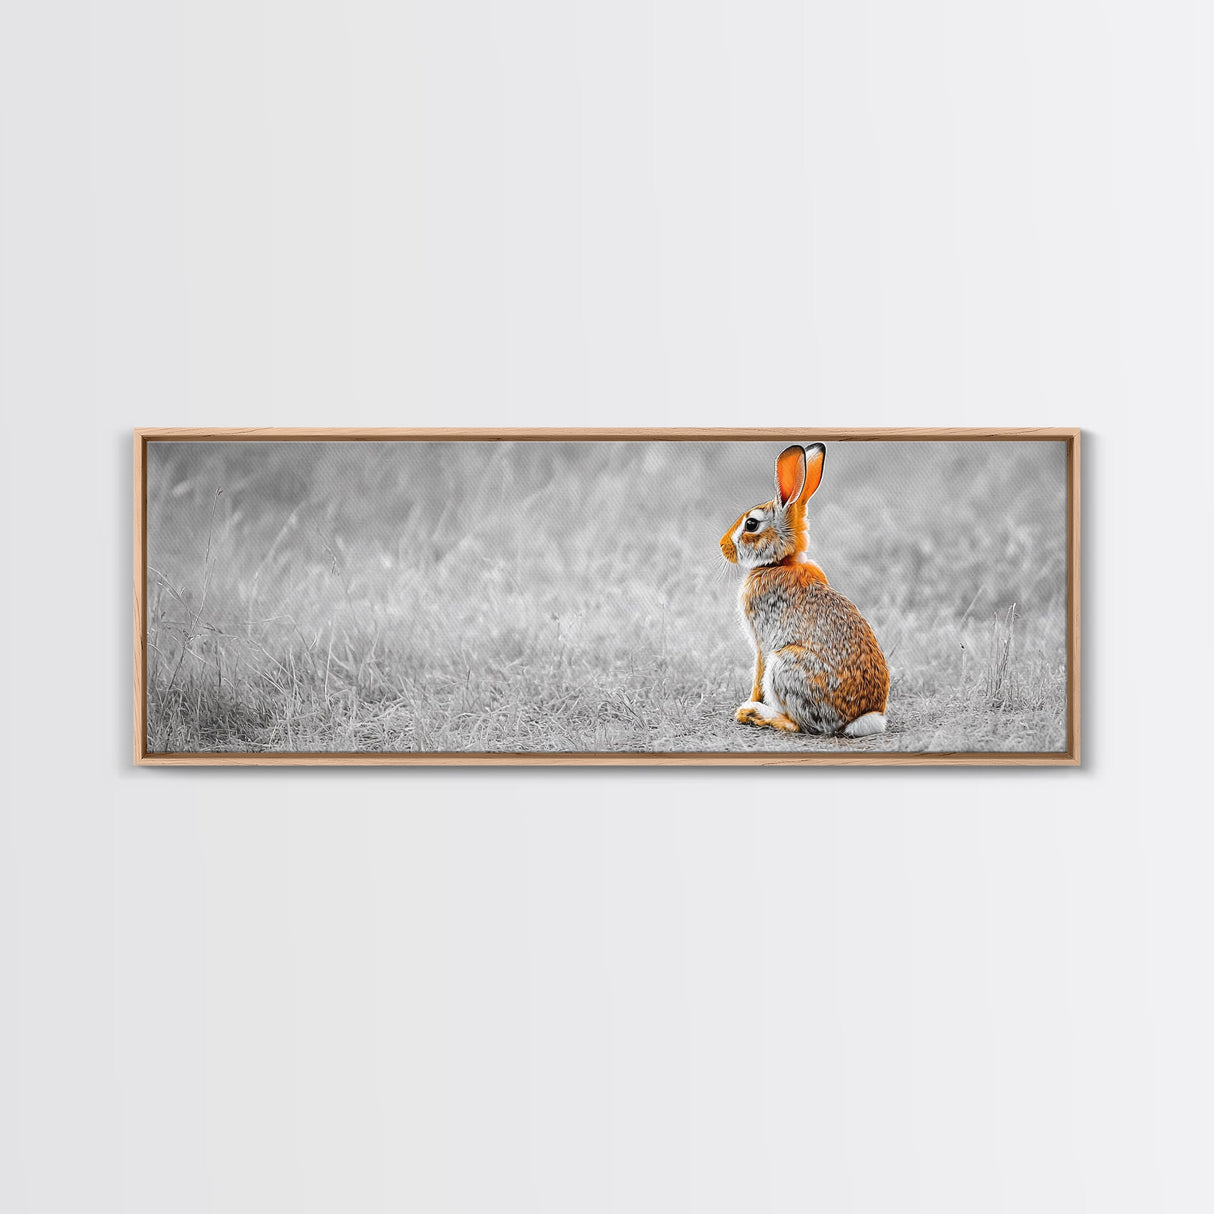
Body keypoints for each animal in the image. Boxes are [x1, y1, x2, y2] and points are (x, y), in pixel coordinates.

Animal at [719, 443, 889, 737]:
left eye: (751, 524)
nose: (722, 546)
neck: (780, 562)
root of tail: (862, 719)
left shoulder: (762, 643)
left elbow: (757, 675)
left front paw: (747, 704)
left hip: (784, 665)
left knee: (800, 725)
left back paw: (755, 714)